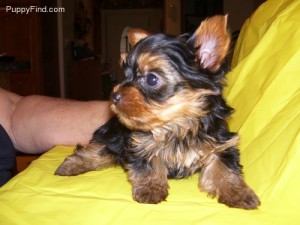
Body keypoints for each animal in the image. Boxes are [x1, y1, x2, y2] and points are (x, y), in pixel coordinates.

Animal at [55, 15, 260, 209]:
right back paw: (71, 165)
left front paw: (239, 193)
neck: (178, 126)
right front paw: (150, 189)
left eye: (152, 79)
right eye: (126, 75)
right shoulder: (139, 144)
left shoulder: (221, 144)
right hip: (111, 135)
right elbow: (148, 163)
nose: (114, 95)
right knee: (96, 150)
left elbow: (225, 168)